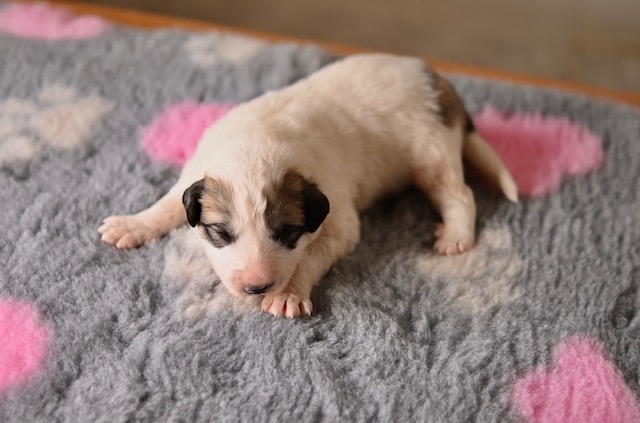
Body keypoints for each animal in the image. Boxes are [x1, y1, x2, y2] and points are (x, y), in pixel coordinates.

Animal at [101, 53, 520, 318]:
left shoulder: (339, 220)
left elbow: (312, 255)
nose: (256, 288)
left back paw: (455, 235)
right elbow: (168, 204)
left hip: (433, 153)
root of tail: (439, 81)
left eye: (288, 233)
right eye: (219, 232)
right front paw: (131, 225)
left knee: (460, 194)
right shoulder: (198, 172)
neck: (258, 143)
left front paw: (287, 293)